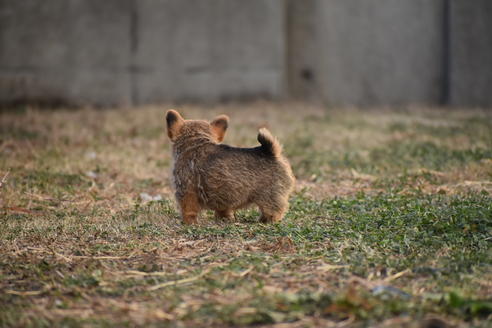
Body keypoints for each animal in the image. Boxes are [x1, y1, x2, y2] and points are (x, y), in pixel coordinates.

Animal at [165, 109, 296, 224]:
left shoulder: (186, 192)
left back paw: (265, 221)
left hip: (270, 197)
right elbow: (224, 212)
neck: (195, 143)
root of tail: (271, 153)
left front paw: (187, 223)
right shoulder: (223, 201)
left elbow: (188, 211)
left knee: (274, 211)